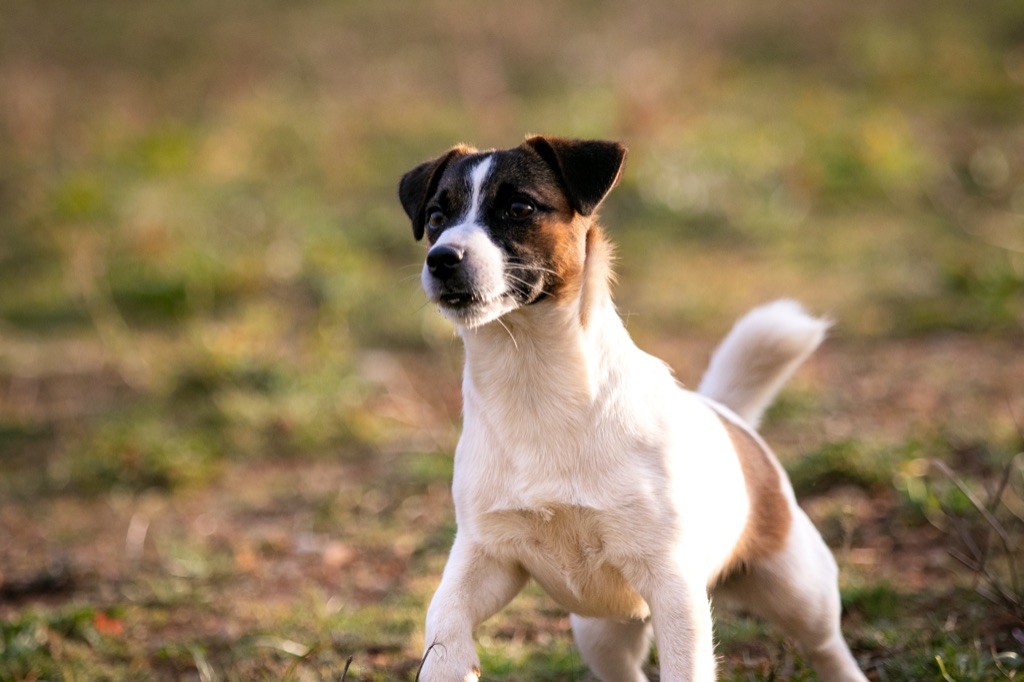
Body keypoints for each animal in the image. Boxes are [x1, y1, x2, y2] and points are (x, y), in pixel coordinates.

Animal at [398, 136, 868, 681]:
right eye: (436, 216)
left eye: (519, 208)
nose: (442, 258)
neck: (532, 384)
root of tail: (726, 413)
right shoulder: (486, 557)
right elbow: (443, 619)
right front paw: (450, 662)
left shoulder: (672, 584)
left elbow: (687, 667)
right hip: (600, 633)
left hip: (799, 590)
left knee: (827, 645)